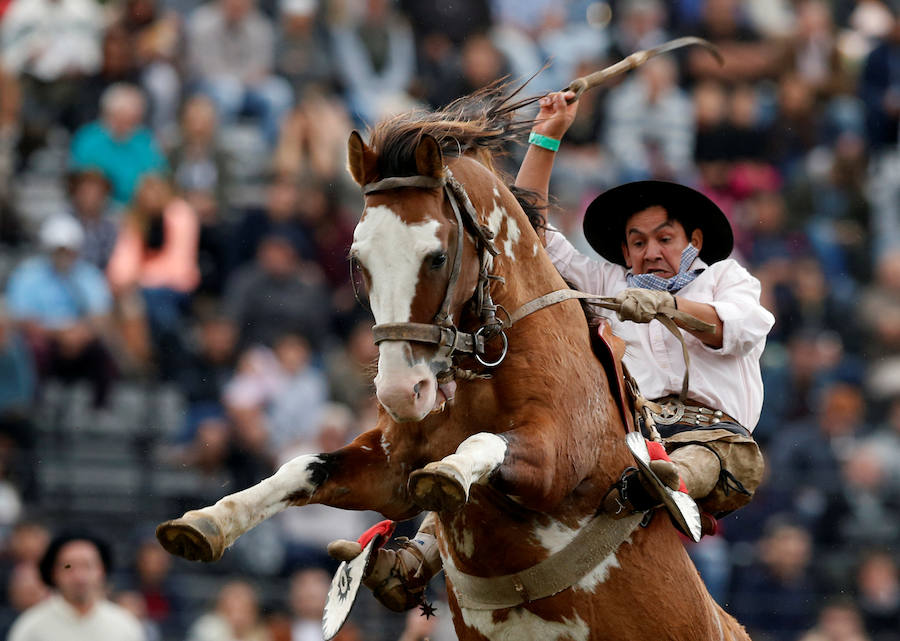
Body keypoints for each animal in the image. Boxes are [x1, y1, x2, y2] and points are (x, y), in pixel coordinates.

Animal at [156, 87, 750, 641]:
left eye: (437, 256)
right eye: (357, 259)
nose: (402, 391)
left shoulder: (558, 460)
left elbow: (486, 443)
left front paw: (448, 474)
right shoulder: (391, 470)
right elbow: (305, 467)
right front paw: (208, 521)